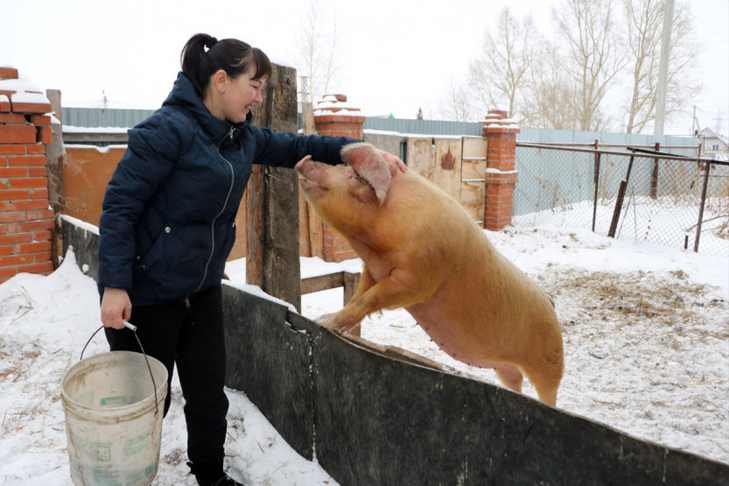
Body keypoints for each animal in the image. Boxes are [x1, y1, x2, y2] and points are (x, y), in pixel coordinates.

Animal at [294, 143, 564, 406]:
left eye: (351, 175)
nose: (306, 158)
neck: (376, 248)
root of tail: (550, 303)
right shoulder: (372, 271)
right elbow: (358, 298)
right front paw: (325, 318)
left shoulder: (416, 280)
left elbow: (369, 299)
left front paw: (322, 322)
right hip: (507, 368)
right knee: (515, 382)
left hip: (549, 363)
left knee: (548, 393)